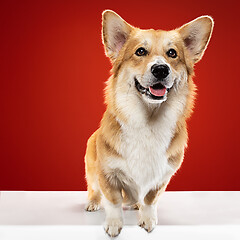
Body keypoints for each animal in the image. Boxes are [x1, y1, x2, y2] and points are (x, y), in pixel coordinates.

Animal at [85, 10, 214, 237]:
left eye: (172, 53)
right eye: (140, 51)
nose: (161, 69)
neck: (149, 120)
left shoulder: (161, 177)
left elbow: (149, 199)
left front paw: (147, 220)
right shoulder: (107, 173)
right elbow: (114, 200)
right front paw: (114, 224)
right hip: (91, 169)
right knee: (94, 189)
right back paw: (93, 202)